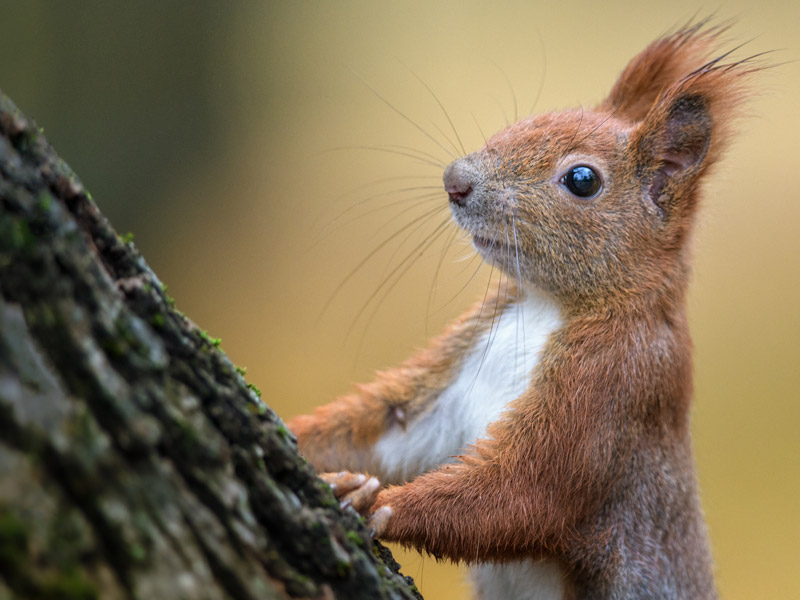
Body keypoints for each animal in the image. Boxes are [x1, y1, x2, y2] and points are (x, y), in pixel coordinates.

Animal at [288, 21, 764, 596]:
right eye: (526, 122)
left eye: (582, 180)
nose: (455, 180)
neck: (544, 305)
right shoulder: (460, 364)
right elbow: (386, 430)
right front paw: (300, 438)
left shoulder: (617, 387)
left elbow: (525, 492)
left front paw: (376, 502)